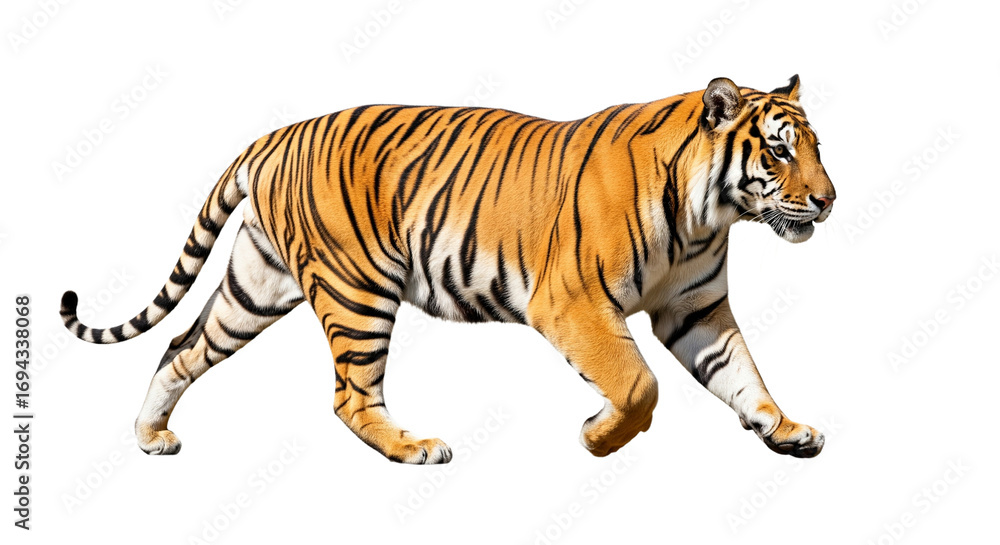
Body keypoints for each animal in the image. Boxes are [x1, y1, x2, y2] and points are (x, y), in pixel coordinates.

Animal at [61, 75, 835, 464]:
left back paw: (151, 437)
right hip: (357, 291)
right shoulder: (573, 302)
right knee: (349, 395)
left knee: (180, 345)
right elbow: (637, 383)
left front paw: (785, 428)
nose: (829, 200)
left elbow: (743, 375)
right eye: (779, 149)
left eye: (816, 147)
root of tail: (276, 135)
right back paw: (416, 447)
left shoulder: (694, 308)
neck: (709, 214)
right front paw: (597, 435)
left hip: (255, 287)